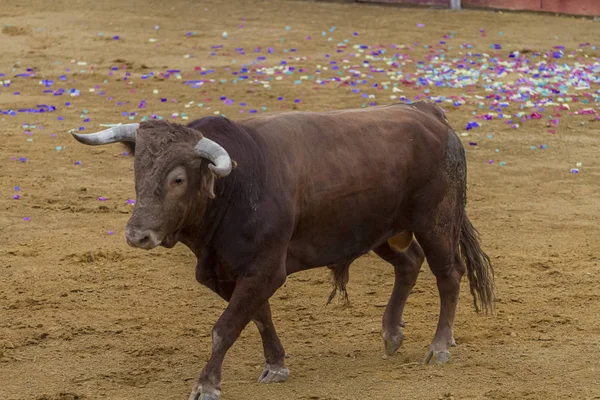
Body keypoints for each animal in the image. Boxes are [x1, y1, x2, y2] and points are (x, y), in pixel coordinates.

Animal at [70, 101, 494, 398]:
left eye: (177, 178)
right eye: (138, 171)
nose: (137, 235)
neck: (236, 184)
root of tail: (429, 113)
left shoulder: (265, 269)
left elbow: (225, 327)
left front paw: (207, 385)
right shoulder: (230, 272)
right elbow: (258, 317)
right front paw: (276, 366)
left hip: (436, 223)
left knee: (448, 275)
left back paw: (439, 347)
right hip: (377, 232)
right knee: (408, 262)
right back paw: (391, 334)